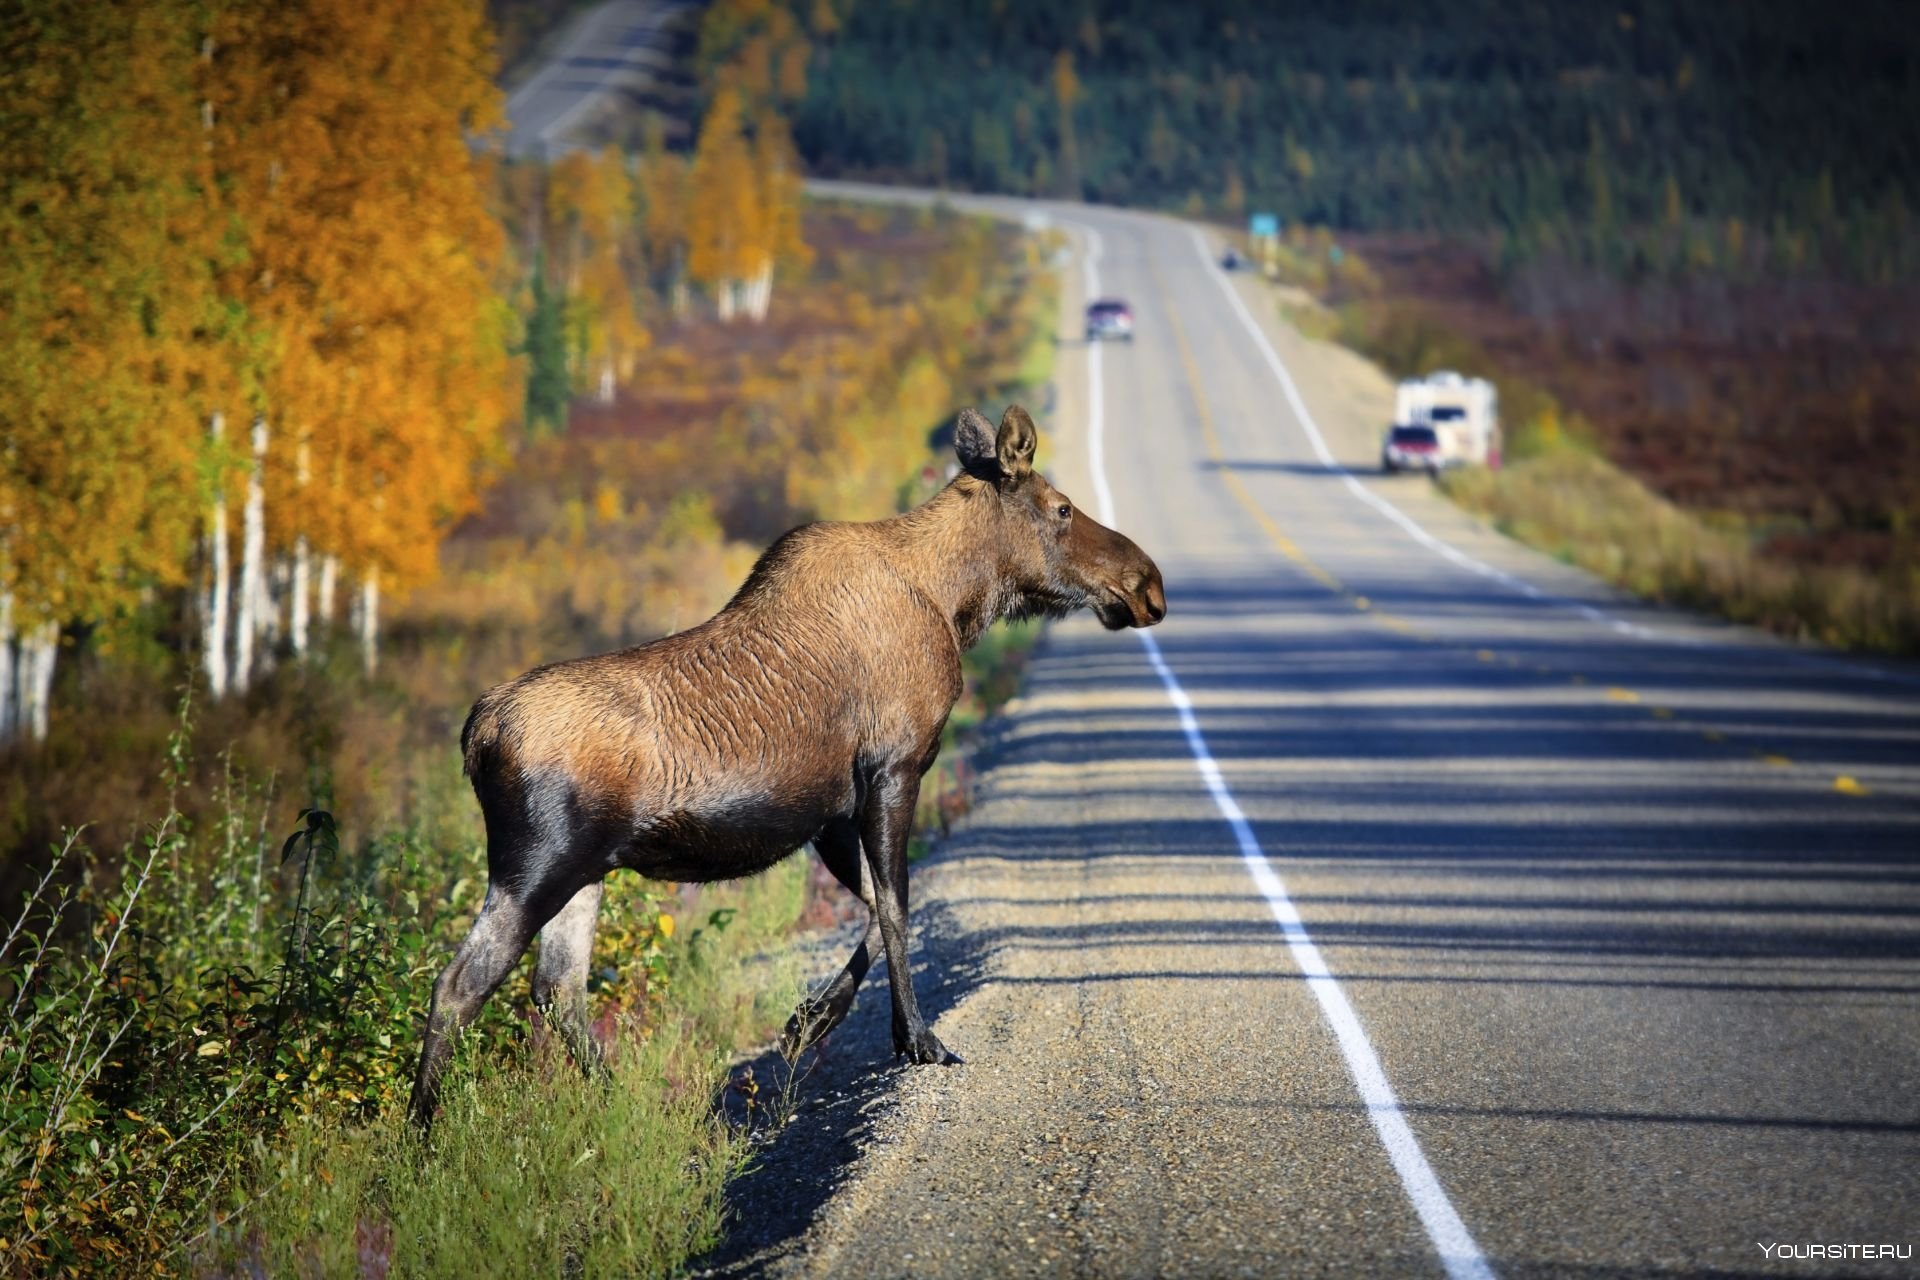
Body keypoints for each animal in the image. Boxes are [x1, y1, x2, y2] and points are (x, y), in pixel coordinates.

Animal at [410, 404, 1159, 1128]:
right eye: (1062, 507)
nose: (1147, 584)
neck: (955, 603)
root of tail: (476, 733)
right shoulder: (894, 769)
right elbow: (897, 906)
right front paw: (917, 1039)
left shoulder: (832, 812)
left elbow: (876, 908)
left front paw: (809, 1021)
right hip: (536, 865)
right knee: (460, 984)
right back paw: (421, 1136)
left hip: (584, 871)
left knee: (557, 990)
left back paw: (623, 1107)